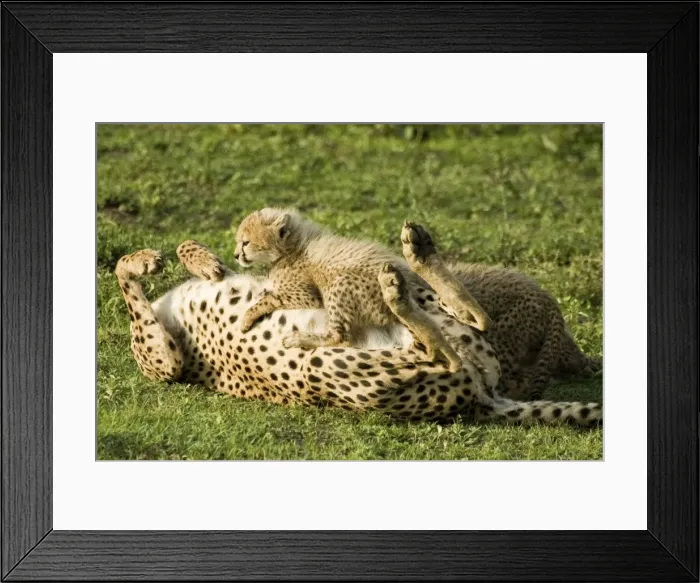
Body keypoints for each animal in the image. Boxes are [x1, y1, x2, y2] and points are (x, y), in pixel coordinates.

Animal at [233, 208, 491, 373]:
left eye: (246, 242)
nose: (236, 255)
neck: (293, 246)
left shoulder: (305, 295)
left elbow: (269, 297)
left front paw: (246, 317)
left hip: (339, 285)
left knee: (341, 336)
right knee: (473, 316)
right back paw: (418, 254)